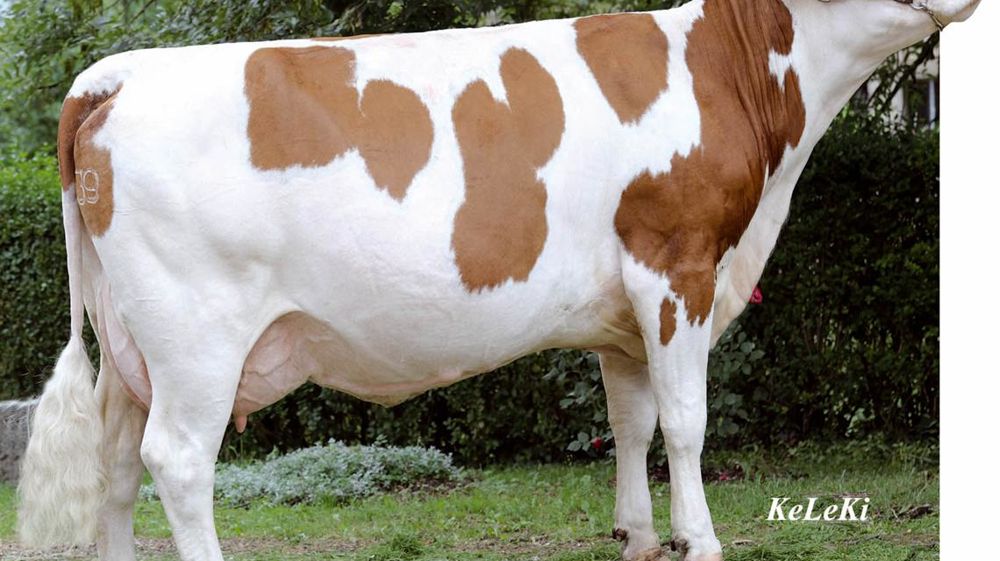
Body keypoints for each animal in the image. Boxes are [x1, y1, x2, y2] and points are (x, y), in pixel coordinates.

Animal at [16, 0, 979, 560]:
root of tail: (117, 73)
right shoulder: (676, 263)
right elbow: (686, 421)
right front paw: (699, 539)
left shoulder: (622, 310)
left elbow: (629, 422)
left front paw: (637, 534)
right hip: (196, 337)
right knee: (177, 461)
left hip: (132, 346)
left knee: (115, 464)